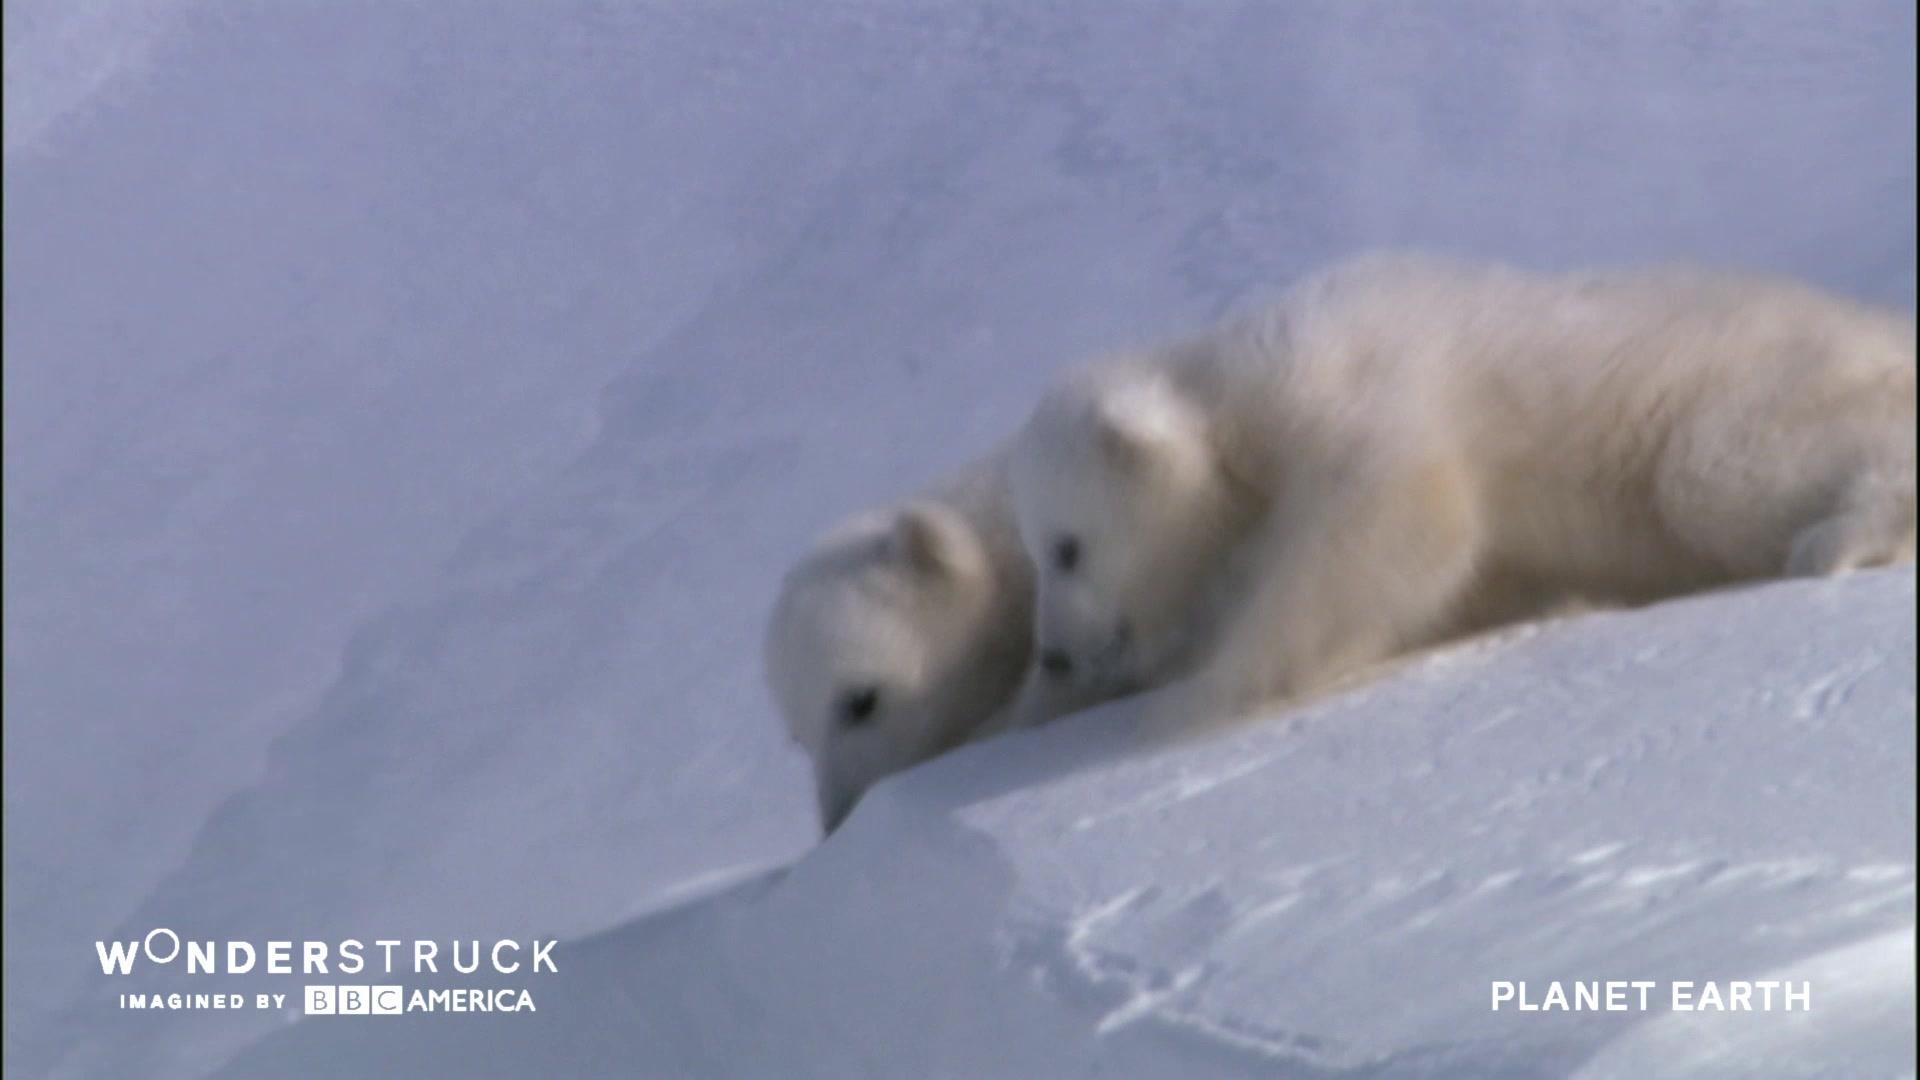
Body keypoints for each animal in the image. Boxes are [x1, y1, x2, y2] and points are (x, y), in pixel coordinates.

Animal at [1013, 251, 1912, 714]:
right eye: (1036, 553)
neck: (1226, 389)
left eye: (1067, 548)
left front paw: (1232, 676)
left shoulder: (1337, 382)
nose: (1053, 655)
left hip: (1754, 383)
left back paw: (1842, 538)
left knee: (1718, 468)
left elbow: (1405, 511)